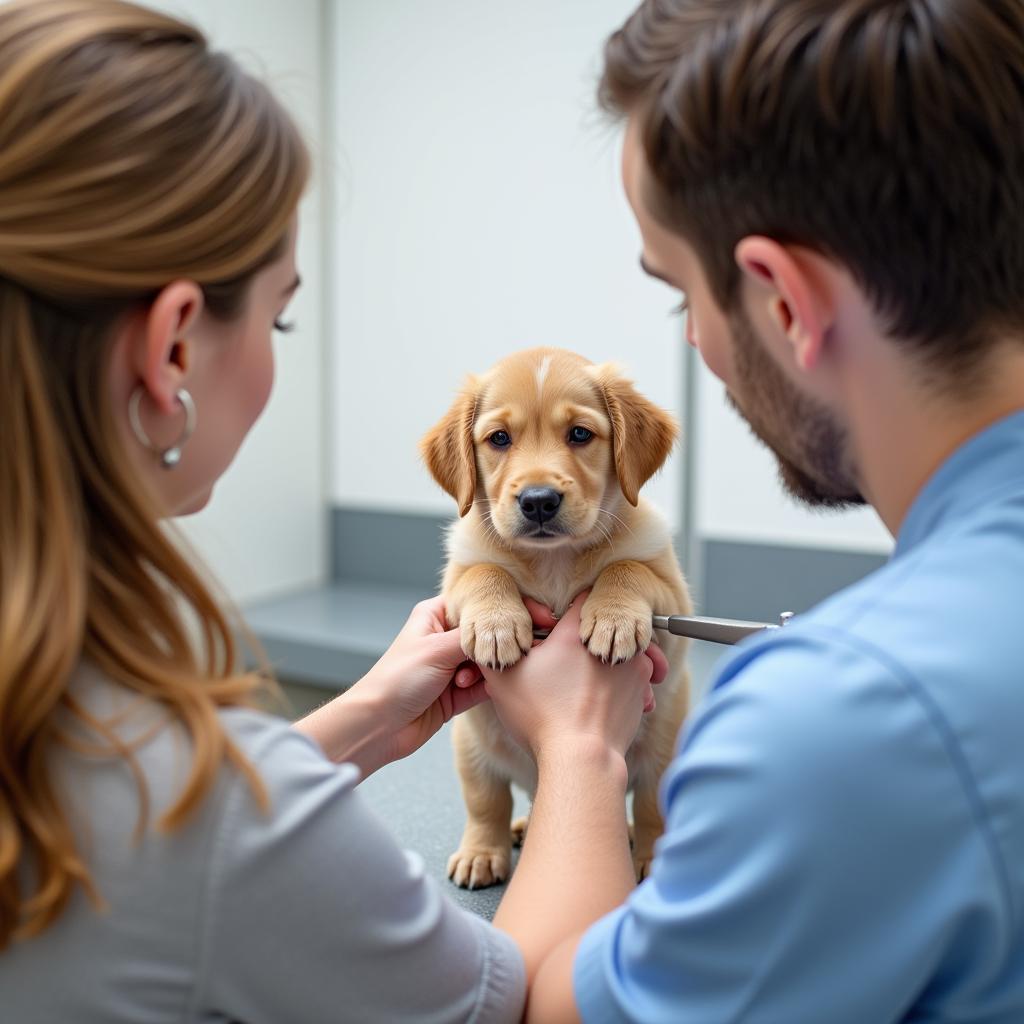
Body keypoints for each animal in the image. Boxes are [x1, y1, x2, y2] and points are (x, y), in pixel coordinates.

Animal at [419, 346, 692, 888]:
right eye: (499, 439)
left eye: (580, 434)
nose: (539, 501)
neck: (555, 561)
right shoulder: (454, 584)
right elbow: (483, 571)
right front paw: (497, 625)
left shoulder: (675, 602)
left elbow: (628, 567)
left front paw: (611, 618)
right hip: (472, 746)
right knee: (488, 803)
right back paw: (487, 849)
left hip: (663, 751)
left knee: (650, 810)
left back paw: (649, 855)